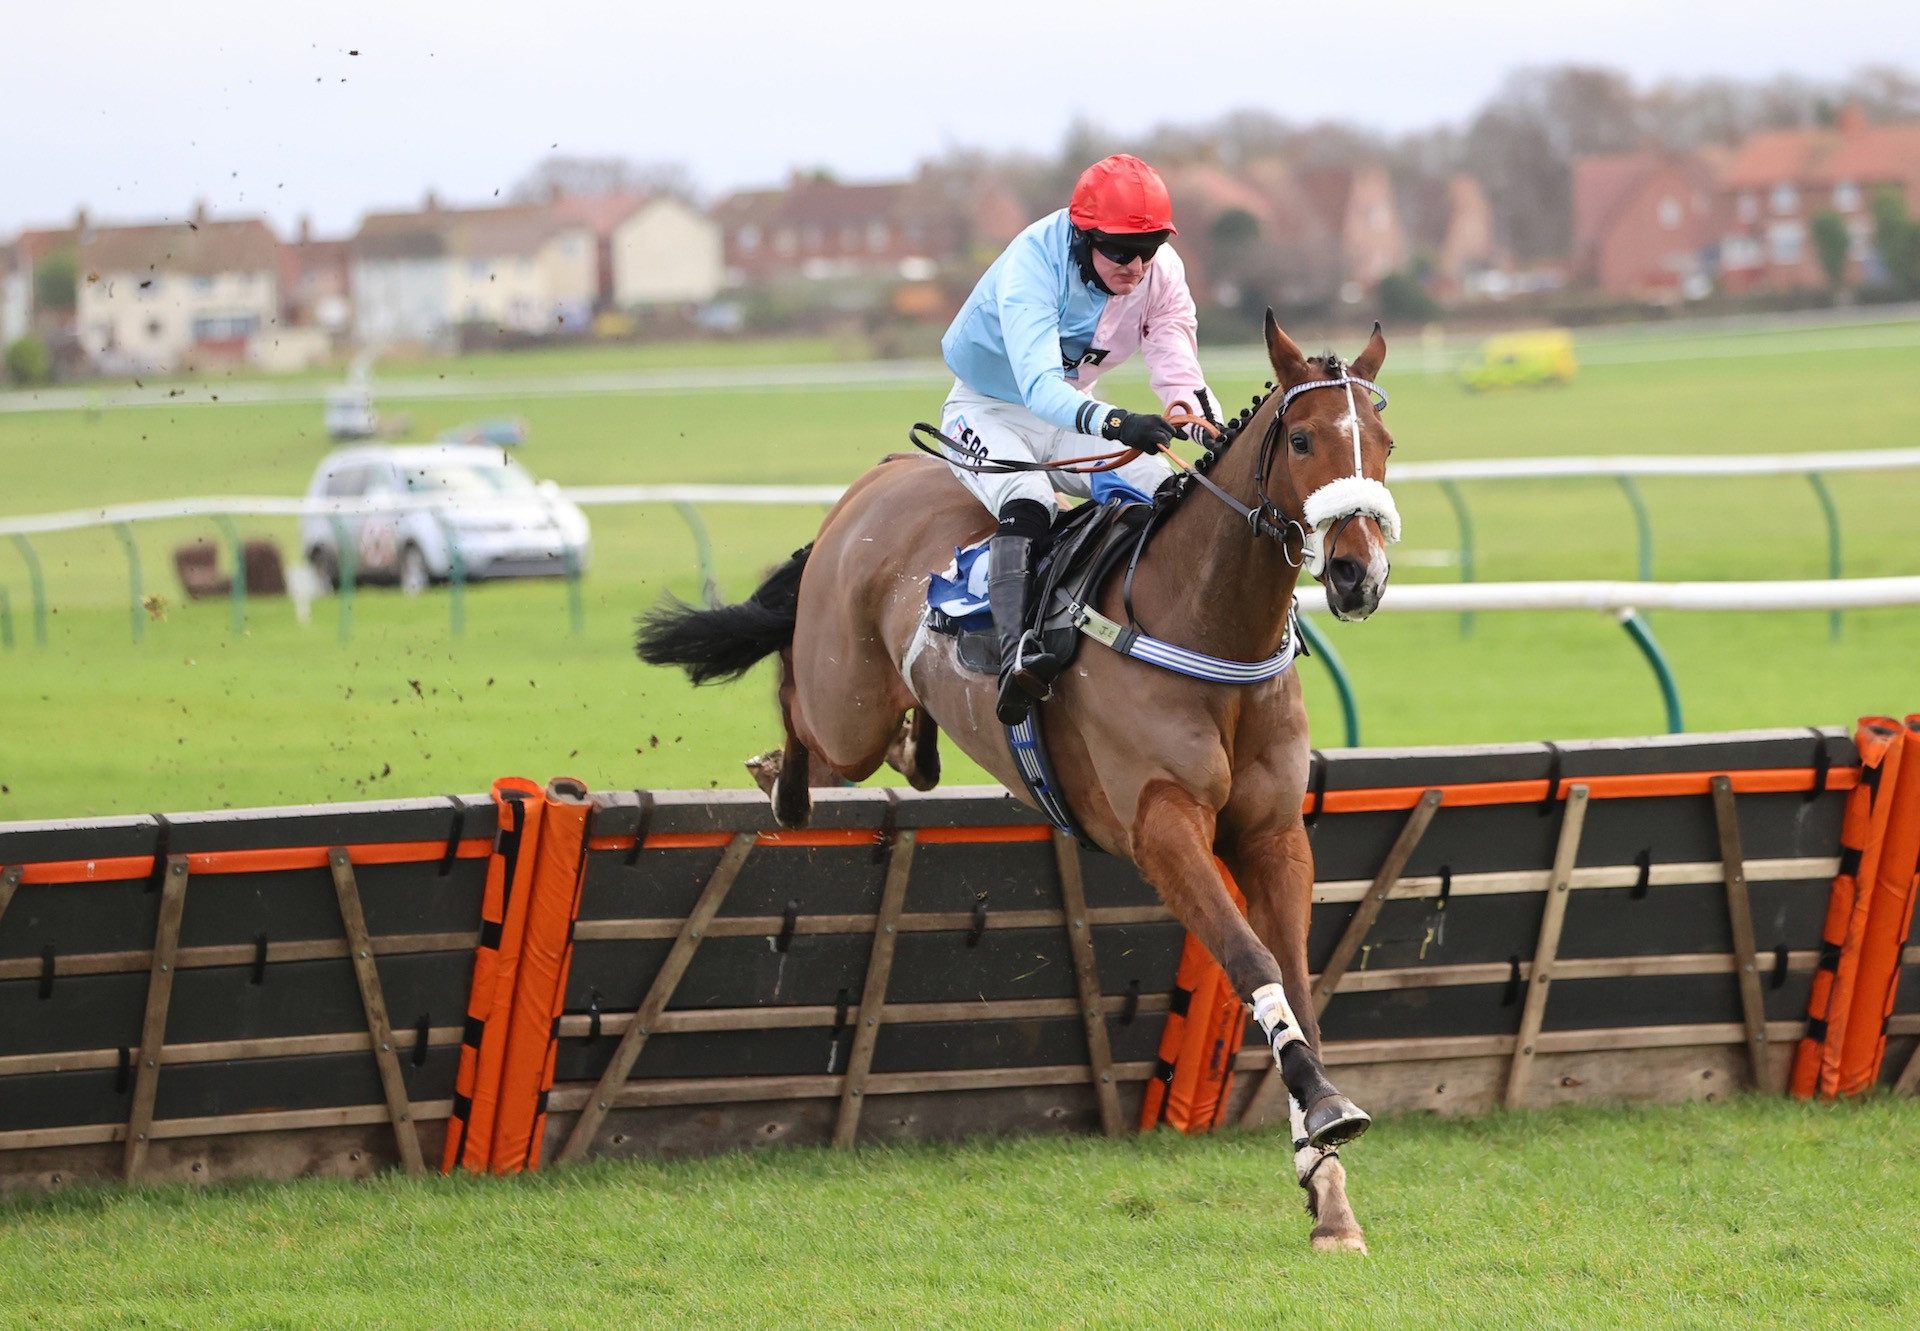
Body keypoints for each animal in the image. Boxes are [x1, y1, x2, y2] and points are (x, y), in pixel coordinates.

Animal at [637, 314, 1405, 1259]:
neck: (1204, 625)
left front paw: (1327, 1186)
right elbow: (1250, 958)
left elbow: (1297, 980)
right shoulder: (1161, 827)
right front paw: (1326, 1117)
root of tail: (876, 480)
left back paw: (913, 745)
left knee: (903, 746)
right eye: (1302, 439)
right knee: (803, 708)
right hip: (843, 702)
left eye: (1385, 443)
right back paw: (781, 780)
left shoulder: (1272, 834)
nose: (1357, 575)